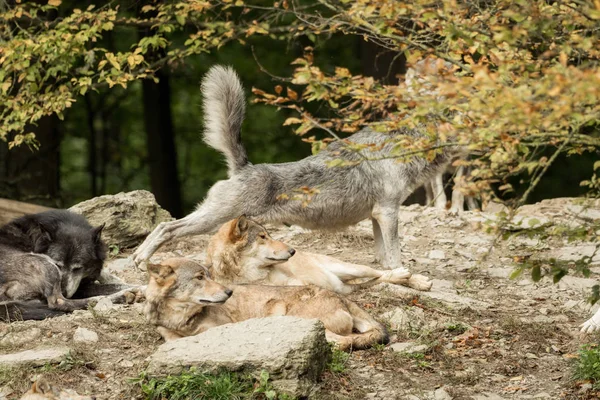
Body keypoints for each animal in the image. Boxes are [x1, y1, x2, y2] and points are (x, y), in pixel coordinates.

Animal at [145, 256, 390, 350]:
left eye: (208, 276)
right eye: (199, 278)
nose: (229, 292)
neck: (181, 318)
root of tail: (343, 298)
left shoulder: (224, 326)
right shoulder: (165, 331)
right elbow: (171, 338)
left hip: (293, 319)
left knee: (344, 341)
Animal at [206, 216, 432, 294]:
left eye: (268, 235)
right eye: (262, 237)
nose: (293, 251)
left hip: (350, 269)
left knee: (379, 273)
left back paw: (415, 279)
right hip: (344, 286)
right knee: (374, 280)